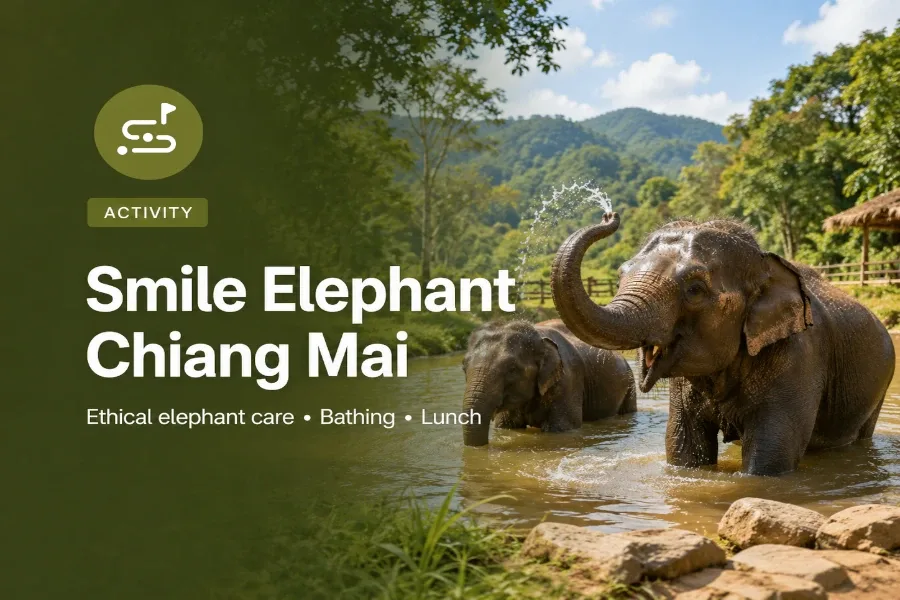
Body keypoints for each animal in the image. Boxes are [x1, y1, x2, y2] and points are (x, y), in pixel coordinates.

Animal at [461, 319, 637, 446]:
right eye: (464, 366)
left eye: (512, 368)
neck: (538, 335)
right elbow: (506, 426)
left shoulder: (569, 380)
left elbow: (561, 428)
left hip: (630, 384)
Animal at [550, 213, 895, 476]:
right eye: (621, 274)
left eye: (694, 289)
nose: (609, 216)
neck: (764, 266)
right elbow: (683, 446)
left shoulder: (799, 359)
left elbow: (770, 456)